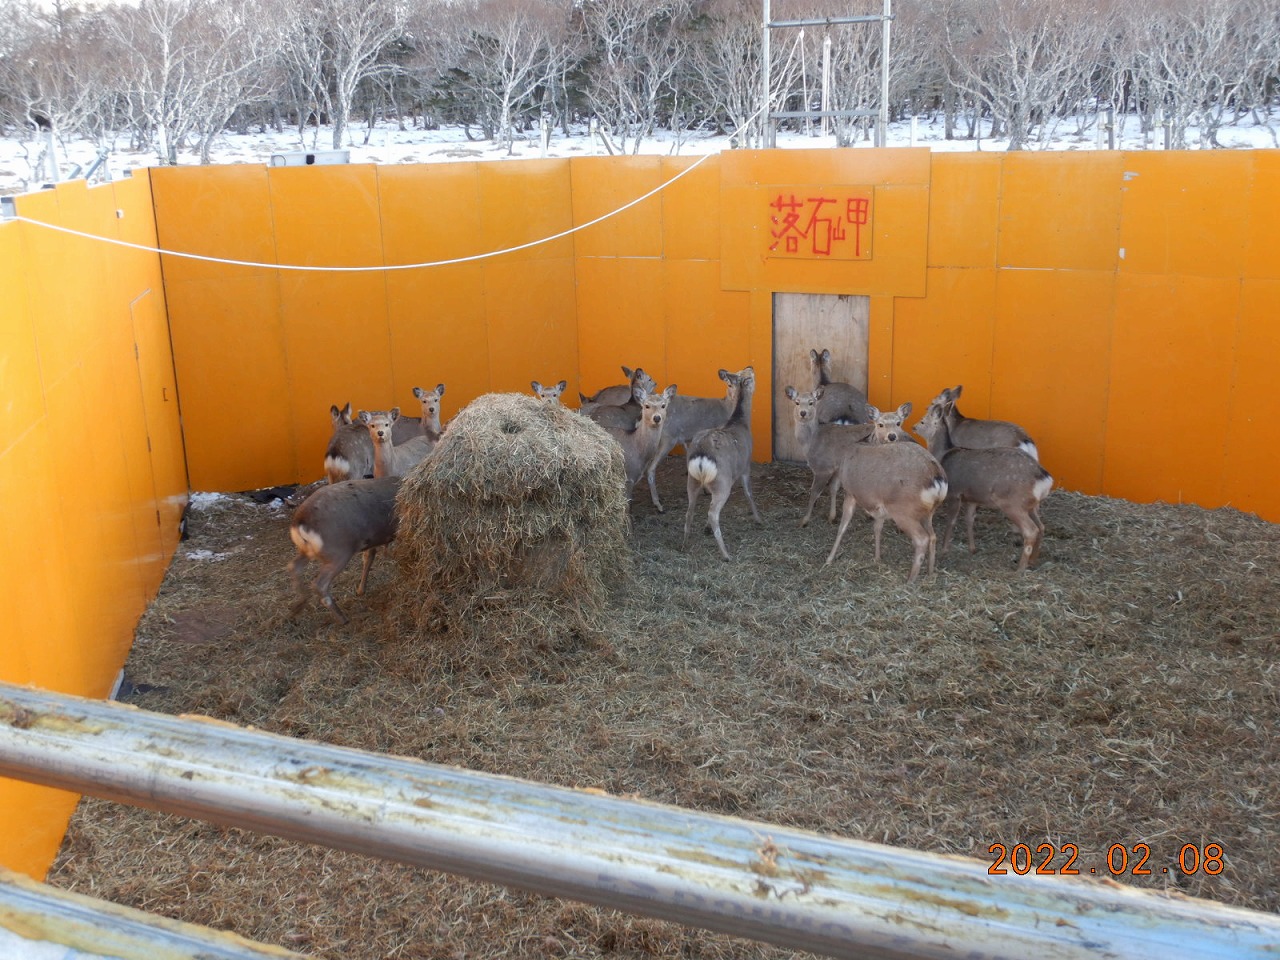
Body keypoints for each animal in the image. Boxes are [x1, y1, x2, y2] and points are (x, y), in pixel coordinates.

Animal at [289, 478, 399, 627]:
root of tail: (299, 523)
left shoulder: (374, 538)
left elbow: (369, 557)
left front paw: (360, 590)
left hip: (307, 551)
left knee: (293, 566)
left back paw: (297, 607)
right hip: (339, 551)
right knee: (320, 584)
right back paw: (342, 618)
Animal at [645, 368, 747, 514]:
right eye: (729, 384)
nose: (737, 396)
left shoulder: (690, 439)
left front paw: (704, 489)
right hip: (668, 438)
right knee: (650, 468)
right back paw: (658, 505)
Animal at [680, 368, 757, 563]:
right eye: (750, 376)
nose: (751, 366)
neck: (741, 423)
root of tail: (701, 457)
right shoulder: (745, 466)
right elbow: (749, 493)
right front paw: (759, 518)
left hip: (692, 481)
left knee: (689, 510)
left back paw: (684, 544)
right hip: (722, 482)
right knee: (713, 513)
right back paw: (726, 554)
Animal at [819, 407, 952, 586]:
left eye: (899, 423)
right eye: (880, 424)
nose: (892, 436)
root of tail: (937, 477)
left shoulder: (851, 492)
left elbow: (843, 527)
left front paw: (829, 559)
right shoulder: (879, 505)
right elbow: (877, 528)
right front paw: (877, 558)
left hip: (903, 510)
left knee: (922, 539)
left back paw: (910, 581)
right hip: (928, 512)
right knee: (932, 536)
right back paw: (930, 574)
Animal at [916, 399, 1054, 570]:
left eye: (923, 420)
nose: (914, 426)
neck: (944, 455)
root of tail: (1045, 479)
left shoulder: (955, 493)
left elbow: (951, 521)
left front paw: (944, 549)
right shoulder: (972, 498)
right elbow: (969, 520)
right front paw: (972, 548)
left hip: (1013, 503)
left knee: (1031, 530)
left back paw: (1020, 568)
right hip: (1031, 504)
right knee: (1041, 526)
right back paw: (1033, 560)